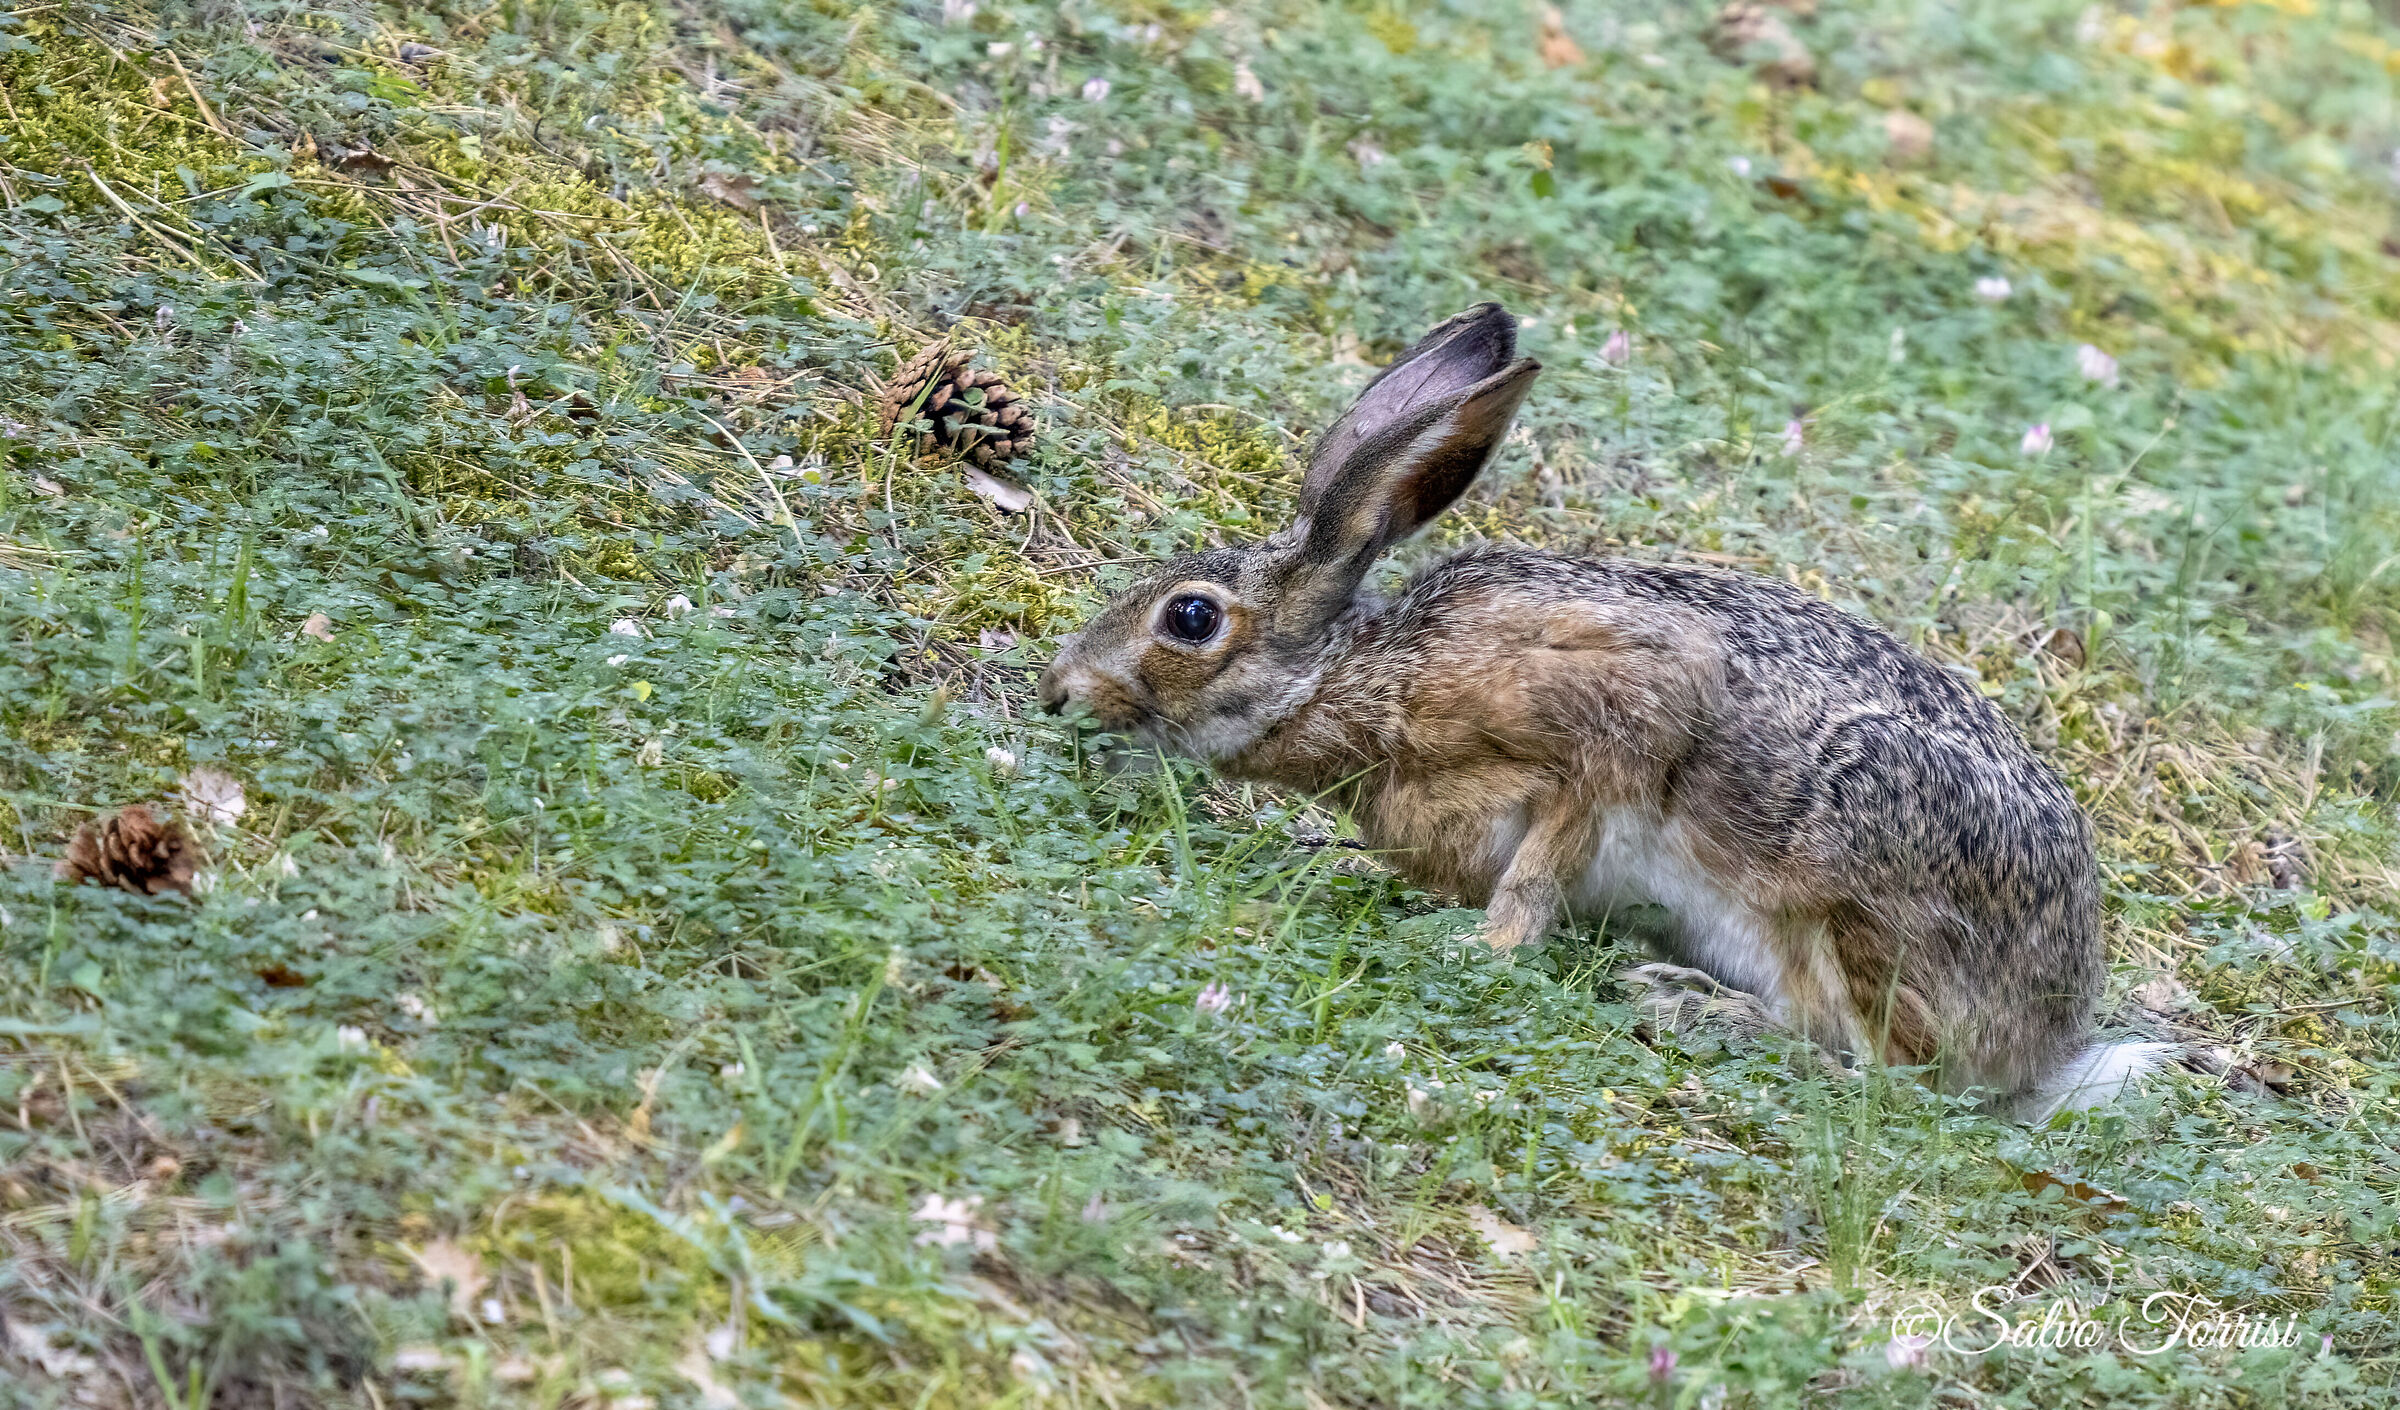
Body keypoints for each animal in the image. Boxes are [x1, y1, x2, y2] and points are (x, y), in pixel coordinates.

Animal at [1038, 303, 2168, 1118]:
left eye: (1191, 618)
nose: (1059, 692)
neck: (1368, 675)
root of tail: (2051, 1038)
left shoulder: (1617, 714)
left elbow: (1551, 854)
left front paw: (1476, 948)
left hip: (1857, 878)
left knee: (1895, 1077)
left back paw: (1693, 1007)